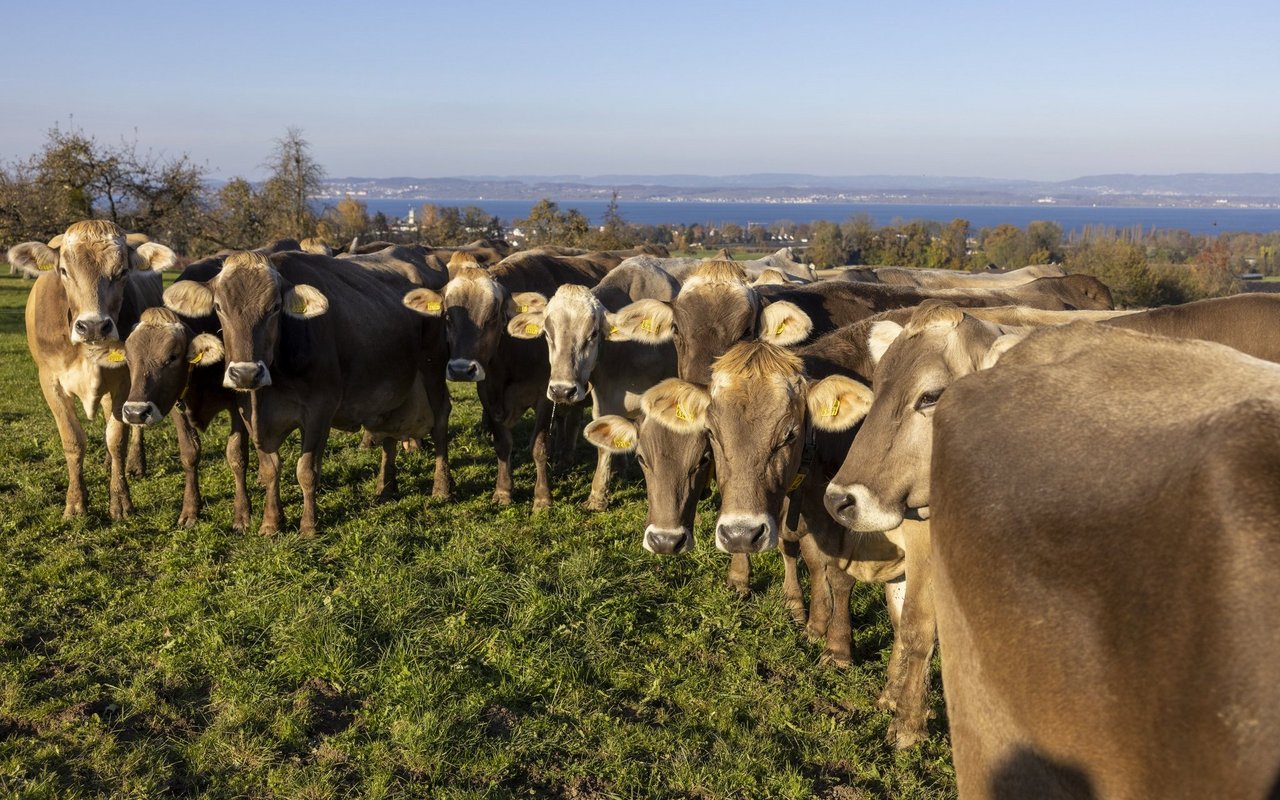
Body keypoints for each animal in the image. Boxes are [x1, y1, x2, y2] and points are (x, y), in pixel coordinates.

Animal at [8, 218, 175, 517]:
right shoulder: (50, 381)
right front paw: (75, 503)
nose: (94, 326)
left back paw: (135, 463)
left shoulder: (124, 380)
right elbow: (73, 440)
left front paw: (120, 500)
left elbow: (117, 438)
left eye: (122, 271)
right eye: (63, 271)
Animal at [162, 249, 448, 537]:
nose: (246, 373)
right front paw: (271, 523)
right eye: (220, 307)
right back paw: (386, 487)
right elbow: (269, 468)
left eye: (275, 307)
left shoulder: (319, 410)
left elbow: (307, 470)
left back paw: (442, 488)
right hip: (391, 392)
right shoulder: (249, 412)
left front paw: (309, 526)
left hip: (434, 370)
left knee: (440, 424)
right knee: (389, 433)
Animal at [404, 252, 614, 509]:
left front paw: (542, 497)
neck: (511, 358)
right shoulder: (489, 393)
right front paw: (503, 491)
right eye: (447, 316)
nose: (462, 369)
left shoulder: (546, 395)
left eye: (493, 316)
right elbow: (503, 444)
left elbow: (539, 445)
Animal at [504, 262, 680, 512]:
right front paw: (598, 496)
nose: (562, 390)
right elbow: (604, 443)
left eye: (593, 333)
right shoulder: (604, 399)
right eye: (547, 333)